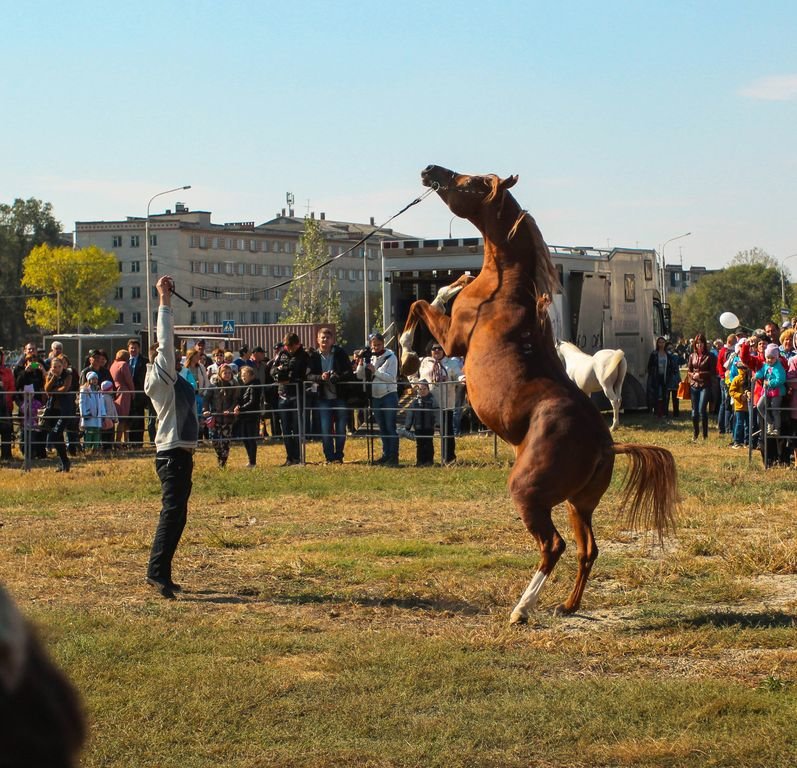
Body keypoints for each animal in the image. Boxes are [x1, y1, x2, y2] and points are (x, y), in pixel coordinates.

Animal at [402, 164, 676, 624]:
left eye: (469, 182)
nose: (430, 170)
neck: (504, 289)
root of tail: (607, 444)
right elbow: (434, 296)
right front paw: (453, 283)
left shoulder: (454, 339)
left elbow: (421, 305)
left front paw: (405, 353)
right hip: (578, 504)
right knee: (587, 550)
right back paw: (568, 604)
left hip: (529, 493)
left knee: (555, 546)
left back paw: (521, 609)